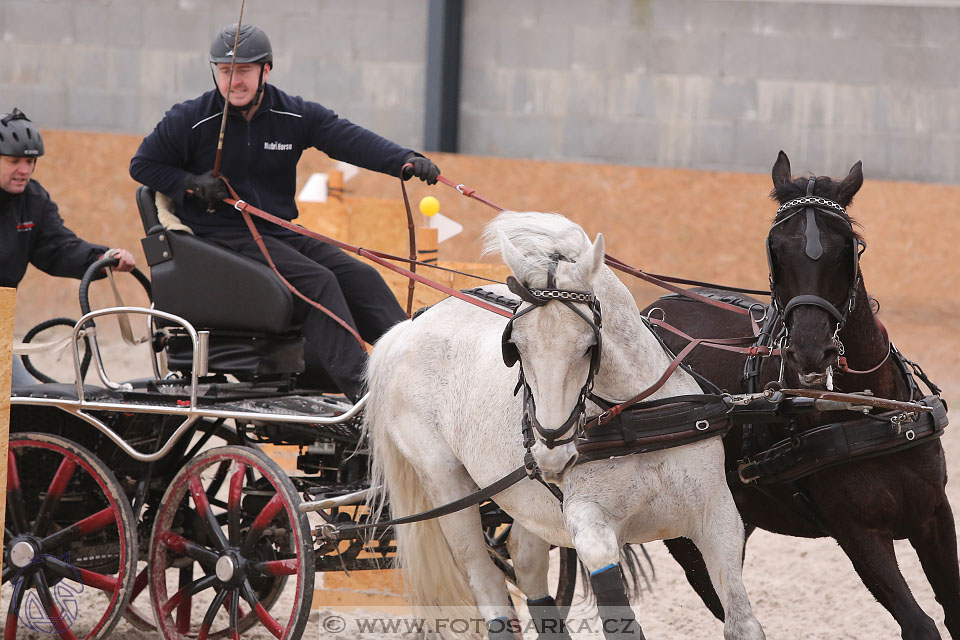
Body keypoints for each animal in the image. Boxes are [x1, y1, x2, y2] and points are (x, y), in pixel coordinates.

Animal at [368, 212, 764, 636]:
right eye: (515, 347)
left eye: (590, 347)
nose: (551, 455)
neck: (635, 423)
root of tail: (406, 328)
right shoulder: (588, 522)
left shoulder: (718, 518)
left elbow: (742, 623)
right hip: (446, 484)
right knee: (485, 578)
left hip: (524, 498)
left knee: (526, 564)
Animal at [648, 152, 956, 636]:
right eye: (775, 248)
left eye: (848, 246)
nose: (811, 349)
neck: (875, 411)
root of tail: (649, 312)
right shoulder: (856, 531)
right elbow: (919, 623)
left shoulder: (933, 514)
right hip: (687, 530)